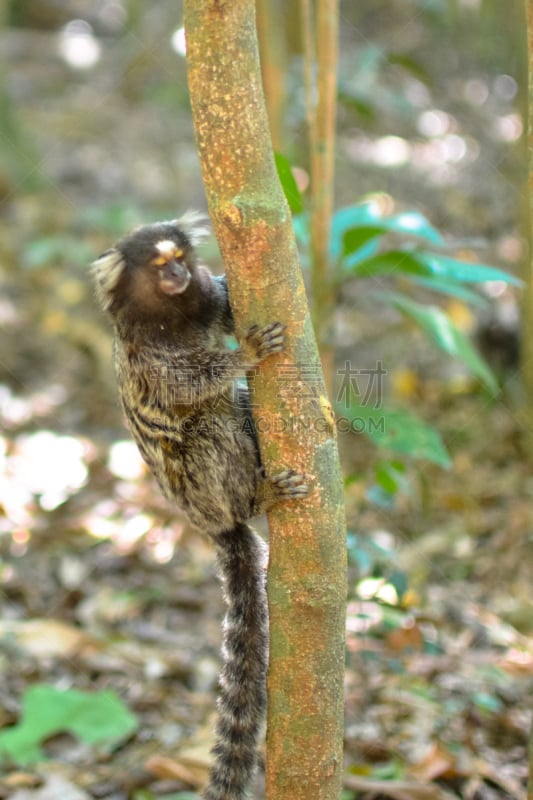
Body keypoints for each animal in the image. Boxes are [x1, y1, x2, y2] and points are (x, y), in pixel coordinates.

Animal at [91, 212, 308, 800]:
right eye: (158, 265)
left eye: (179, 259)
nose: (178, 275)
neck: (171, 313)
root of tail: (211, 523)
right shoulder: (150, 357)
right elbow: (188, 385)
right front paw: (245, 355)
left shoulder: (206, 296)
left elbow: (225, 306)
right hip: (199, 486)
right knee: (208, 424)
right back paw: (260, 495)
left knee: (235, 405)